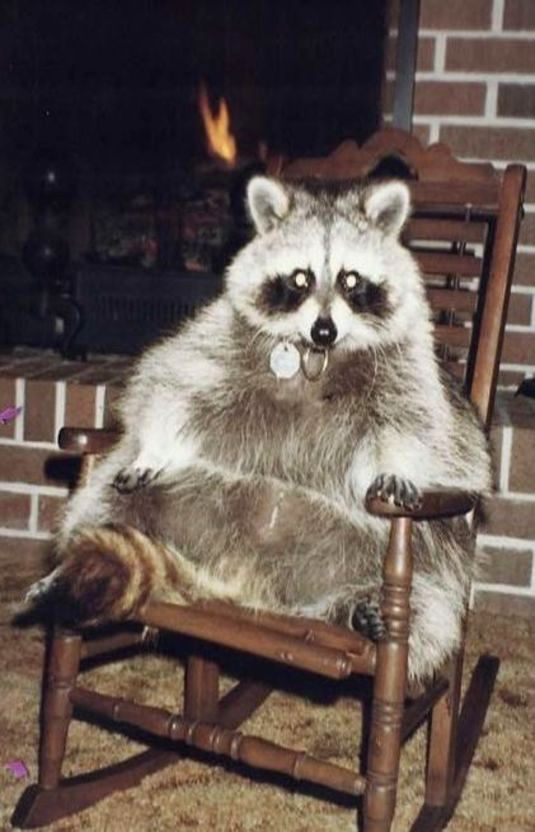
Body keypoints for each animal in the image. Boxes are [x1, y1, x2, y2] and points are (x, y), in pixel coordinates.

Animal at [28, 176, 491, 683]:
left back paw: (358, 614)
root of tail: (241, 583)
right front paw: (156, 445)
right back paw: (74, 559)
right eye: (301, 278)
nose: (324, 330)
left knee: (431, 599)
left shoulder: (406, 368)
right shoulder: (219, 337)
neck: (314, 357)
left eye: (351, 280)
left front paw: (398, 464)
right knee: (103, 503)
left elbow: (417, 423)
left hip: (405, 552)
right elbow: (170, 383)